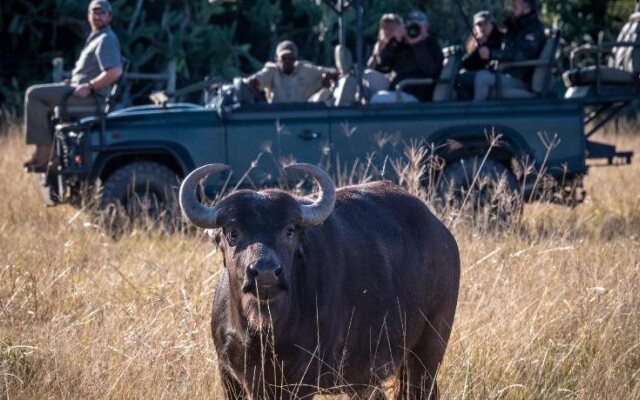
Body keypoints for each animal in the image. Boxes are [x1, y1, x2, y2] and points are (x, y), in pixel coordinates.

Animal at [180, 163, 460, 400]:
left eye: (289, 230)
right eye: (233, 232)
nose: (266, 272)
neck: (262, 330)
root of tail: (442, 235)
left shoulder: (300, 380)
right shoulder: (228, 374)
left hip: (428, 349)